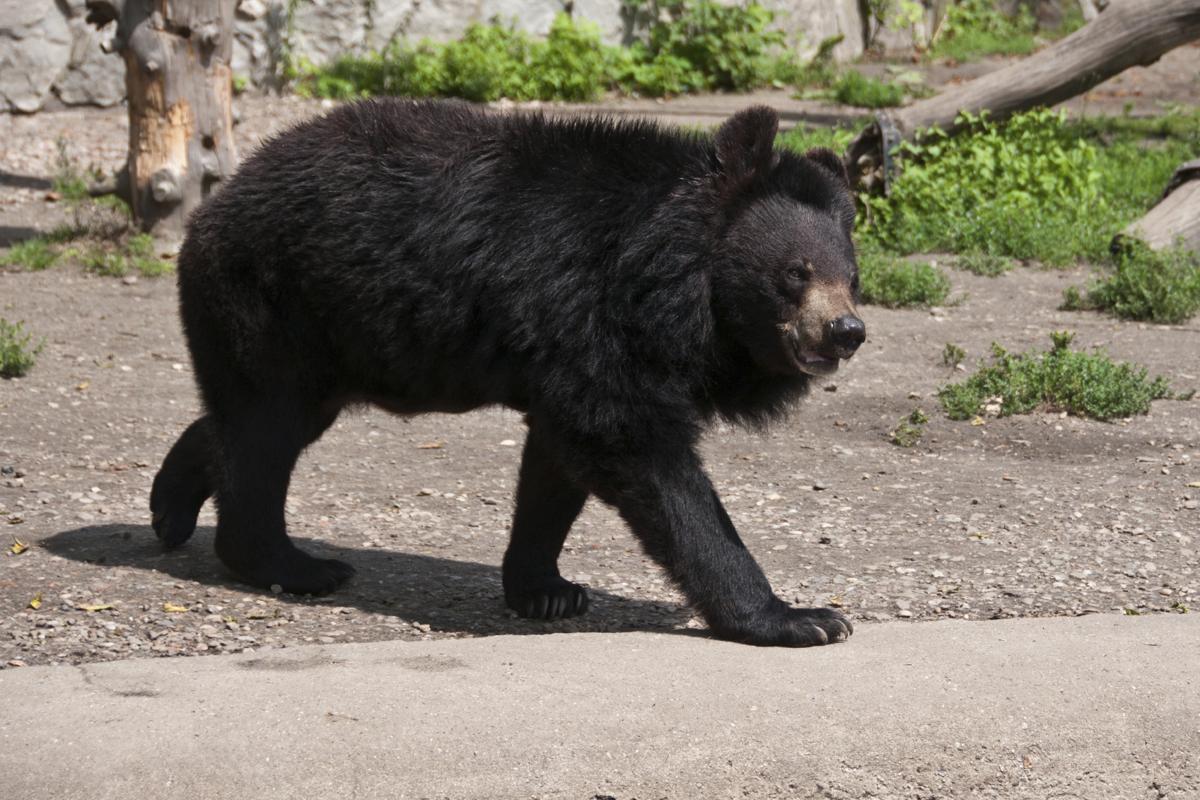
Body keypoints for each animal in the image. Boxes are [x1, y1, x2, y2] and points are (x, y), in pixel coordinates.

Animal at [150, 99, 866, 647]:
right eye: (795, 273)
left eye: (851, 277)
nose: (846, 331)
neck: (667, 282)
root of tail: (216, 203)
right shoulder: (583, 302)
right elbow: (638, 448)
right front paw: (801, 619)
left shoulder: (572, 343)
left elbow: (557, 459)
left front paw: (546, 590)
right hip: (274, 301)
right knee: (264, 429)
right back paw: (294, 566)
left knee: (250, 422)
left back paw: (171, 506)